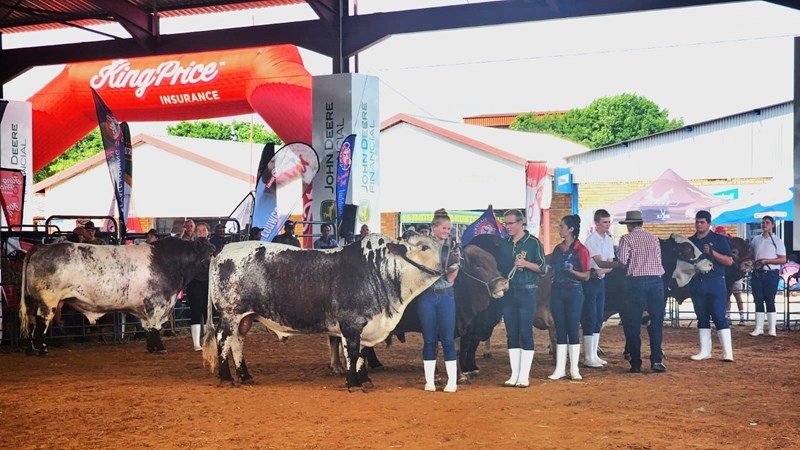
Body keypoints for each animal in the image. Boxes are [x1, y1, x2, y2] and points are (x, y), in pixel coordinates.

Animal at [21, 237, 216, 356]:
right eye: (212, 253)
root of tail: (43, 246)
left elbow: (148, 328)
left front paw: (151, 347)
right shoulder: (158, 303)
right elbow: (155, 327)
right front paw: (160, 348)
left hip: (33, 302)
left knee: (31, 323)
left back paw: (31, 349)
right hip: (48, 302)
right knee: (41, 323)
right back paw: (42, 349)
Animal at [202, 232, 444, 390]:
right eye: (424, 247)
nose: (448, 259)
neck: (377, 269)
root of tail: (222, 250)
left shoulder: (367, 326)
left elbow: (362, 354)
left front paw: (364, 380)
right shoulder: (351, 325)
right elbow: (352, 352)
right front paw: (353, 383)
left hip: (245, 318)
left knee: (237, 343)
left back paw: (245, 376)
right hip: (230, 314)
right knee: (223, 341)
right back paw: (227, 379)